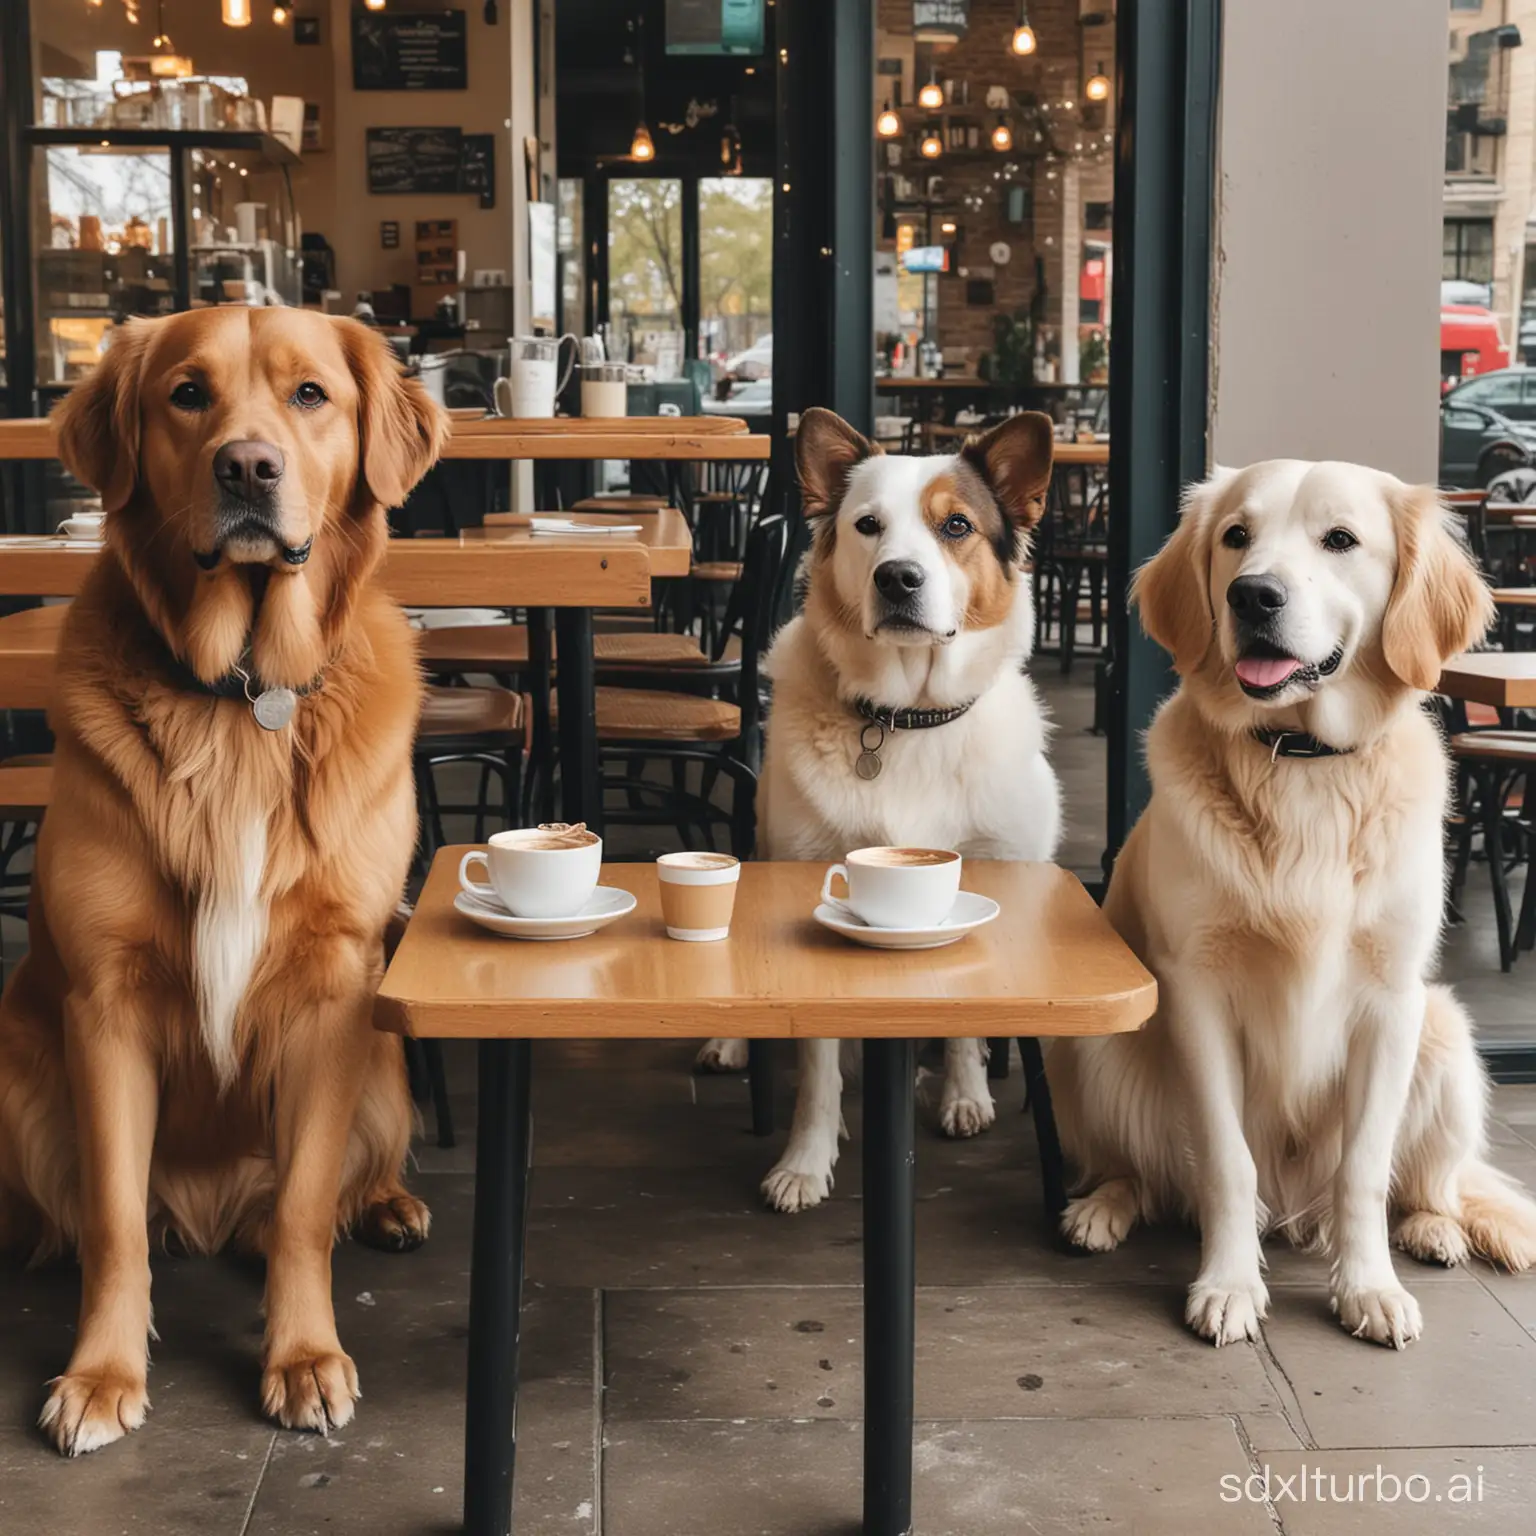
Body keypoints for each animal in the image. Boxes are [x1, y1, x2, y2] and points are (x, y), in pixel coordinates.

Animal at [0, 308, 445, 1449]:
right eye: (187, 394)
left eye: (310, 395)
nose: (247, 468)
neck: (242, 696)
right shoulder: (103, 1004)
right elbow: (114, 1219)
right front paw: (102, 1374)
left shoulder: (337, 995)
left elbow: (301, 1211)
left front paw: (304, 1357)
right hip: (18, 1071)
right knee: (90, 1216)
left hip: (386, 1063)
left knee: (325, 1188)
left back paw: (387, 1205)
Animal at [703, 405, 1062, 1210]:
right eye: (868, 525)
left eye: (956, 525)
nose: (898, 577)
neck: (906, 720)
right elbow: (816, 1067)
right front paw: (805, 1160)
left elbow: (966, 1019)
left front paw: (965, 1093)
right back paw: (731, 1042)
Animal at [1050, 460, 1536, 1351]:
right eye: (1236, 535)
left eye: (1340, 539)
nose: (1253, 595)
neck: (1304, 763)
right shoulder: (1197, 991)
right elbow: (1226, 1160)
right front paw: (1229, 1283)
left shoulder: (1391, 1001)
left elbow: (1365, 1167)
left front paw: (1368, 1287)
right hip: (1098, 1049)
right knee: (1146, 1173)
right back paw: (1103, 1207)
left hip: (1446, 1036)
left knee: (1436, 1183)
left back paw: (1434, 1230)